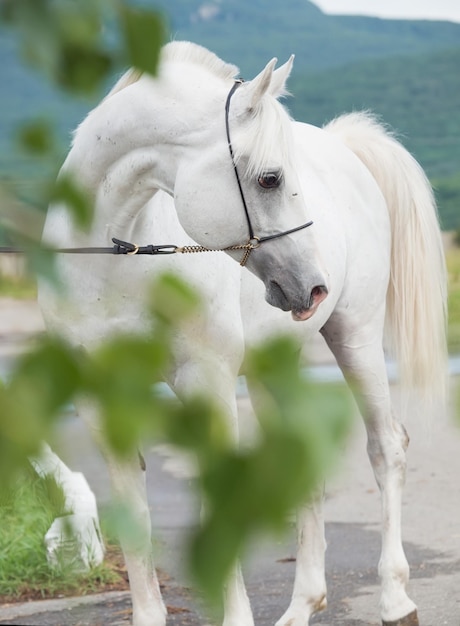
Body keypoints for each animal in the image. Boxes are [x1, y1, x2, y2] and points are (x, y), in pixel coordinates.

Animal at [37, 42, 448, 624]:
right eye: (270, 178)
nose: (313, 287)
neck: (118, 258)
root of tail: (346, 149)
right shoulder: (103, 397)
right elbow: (132, 510)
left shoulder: (206, 382)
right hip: (274, 368)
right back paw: (302, 606)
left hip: (357, 338)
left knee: (387, 446)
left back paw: (395, 598)